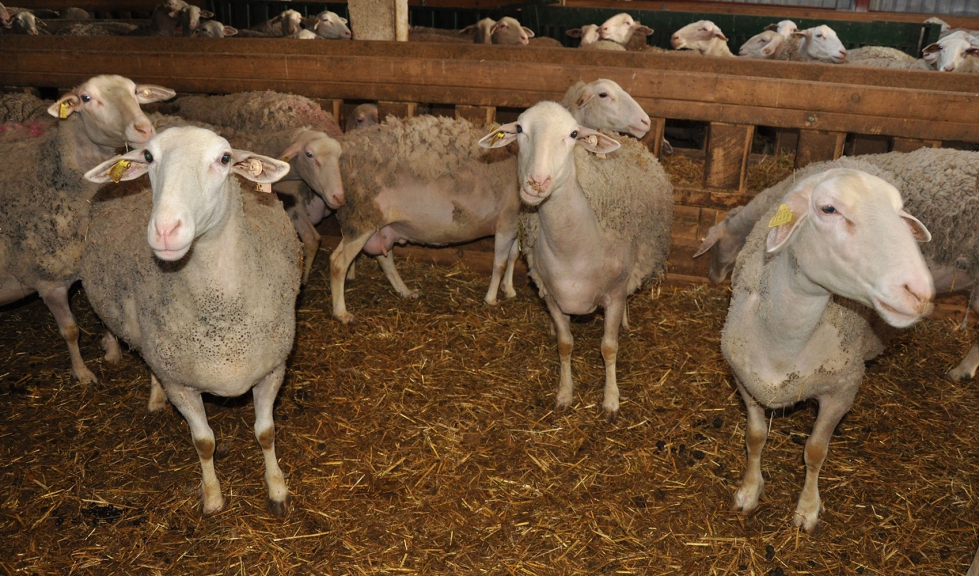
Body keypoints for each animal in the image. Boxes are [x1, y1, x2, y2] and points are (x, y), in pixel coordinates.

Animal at [0, 74, 174, 383]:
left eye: (134, 92)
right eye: (86, 99)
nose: (144, 128)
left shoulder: (87, 264)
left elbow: (101, 308)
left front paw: (112, 351)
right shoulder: (49, 281)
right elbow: (70, 330)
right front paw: (82, 373)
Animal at [80, 126, 301, 517]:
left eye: (225, 158)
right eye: (148, 157)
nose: (166, 230)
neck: (222, 315)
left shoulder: (273, 369)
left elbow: (266, 433)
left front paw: (277, 489)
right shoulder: (179, 382)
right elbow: (204, 443)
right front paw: (212, 497)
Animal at [477, 101, 672, 419]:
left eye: (572, 134)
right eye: (519, 128)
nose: (537, 182)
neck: (573, 247)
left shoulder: (614, 295)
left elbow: (609, 348)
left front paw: (611, 400)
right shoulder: (552, 295)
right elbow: (565, 345)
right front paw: (564, 394)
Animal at [722, 166, 933, 532]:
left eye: (899, 211)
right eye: (828, 209)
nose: (919, 292)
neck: (786, 340)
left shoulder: (840, 392)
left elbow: (815, 451)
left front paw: (807, 508)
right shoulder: (745, 382)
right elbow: (755, 436)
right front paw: (749, 490)